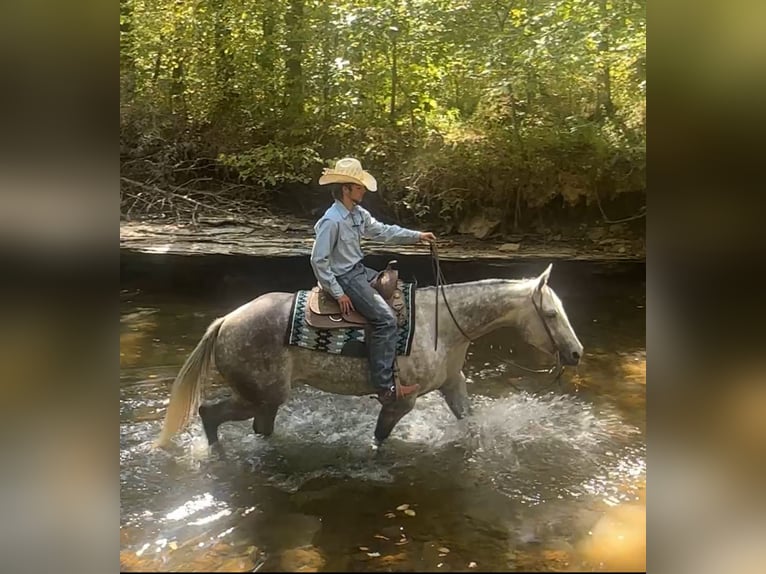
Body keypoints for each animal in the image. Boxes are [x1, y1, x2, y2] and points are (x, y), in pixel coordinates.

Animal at [155, 263, 583, 450]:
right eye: (550, 314)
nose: (577, 353)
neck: (443, 323)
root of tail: (225, 321)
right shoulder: (400, 402)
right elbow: (379, 441)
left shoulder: (452, 384)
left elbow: (470, 422)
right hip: (259, 395)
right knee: (210, 414)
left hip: (265, 400)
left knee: (258, 428)